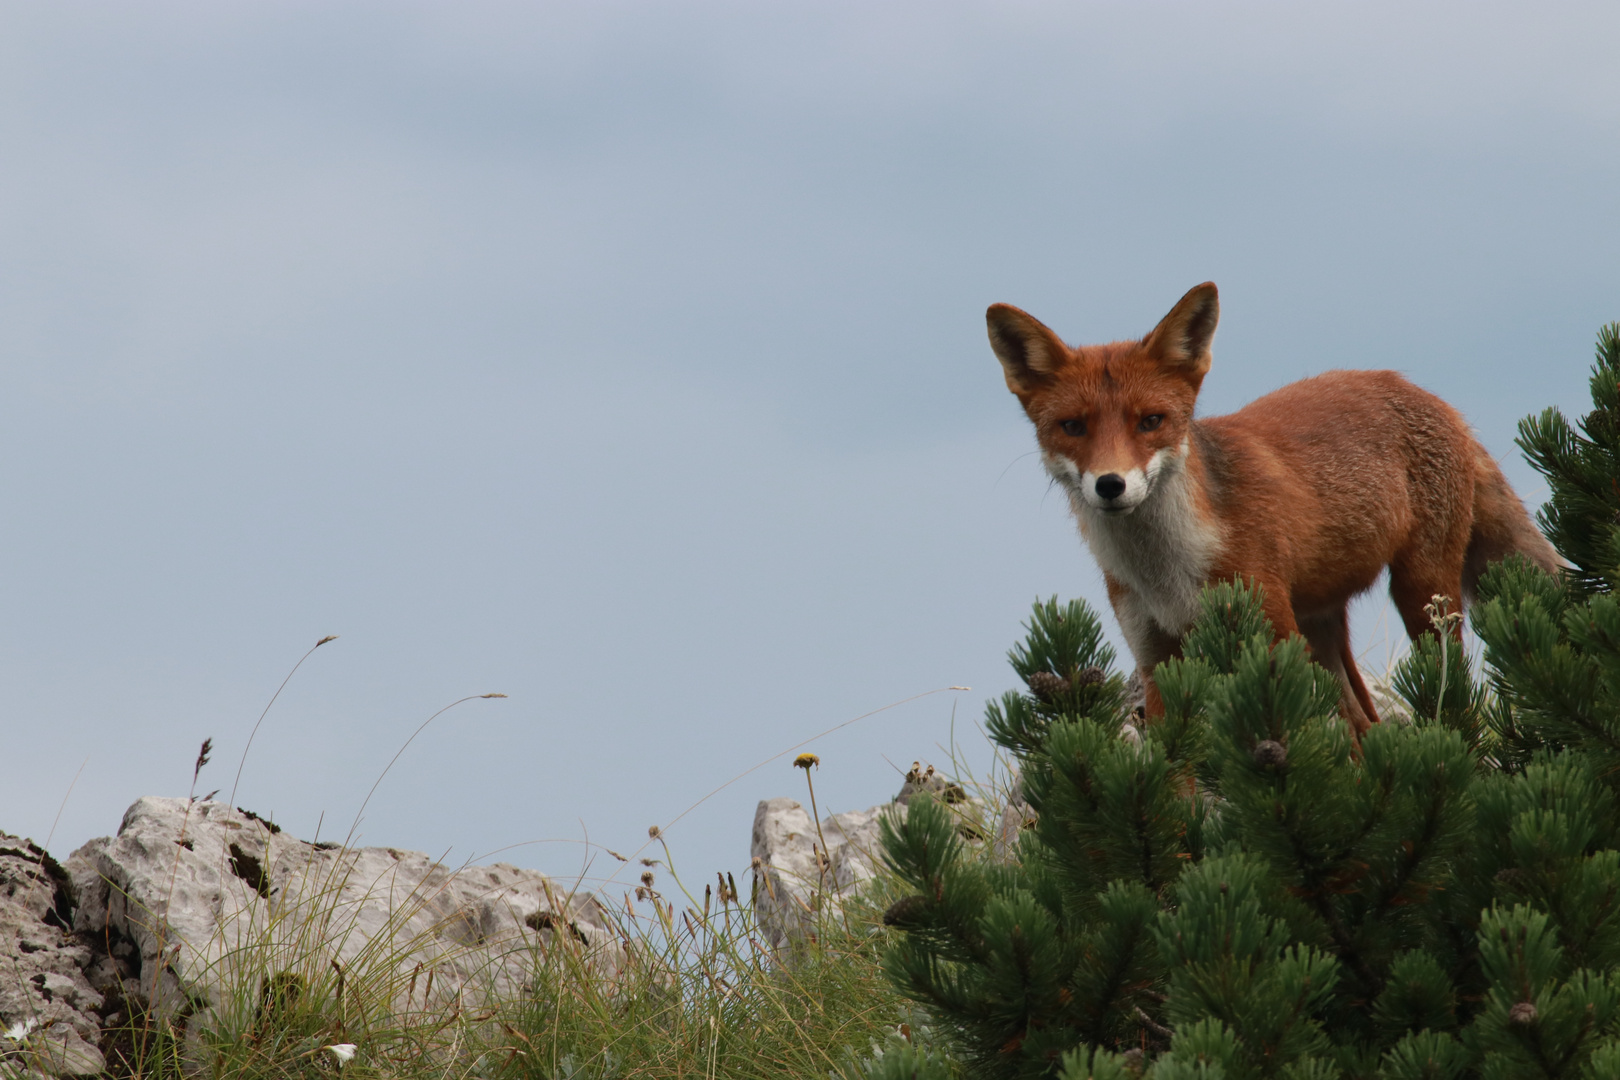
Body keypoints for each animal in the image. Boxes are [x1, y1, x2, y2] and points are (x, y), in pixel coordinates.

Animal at [984, 281, 1555, 735]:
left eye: (1150, 421)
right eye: (1073, 427)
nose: (1110, 485)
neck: (1170, 572)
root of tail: (1424, 392)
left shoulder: (1274, 642)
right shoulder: (1157, 661)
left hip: (1420, 595)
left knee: (1436, 703)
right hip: (1322, 628)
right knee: (1366, 725)